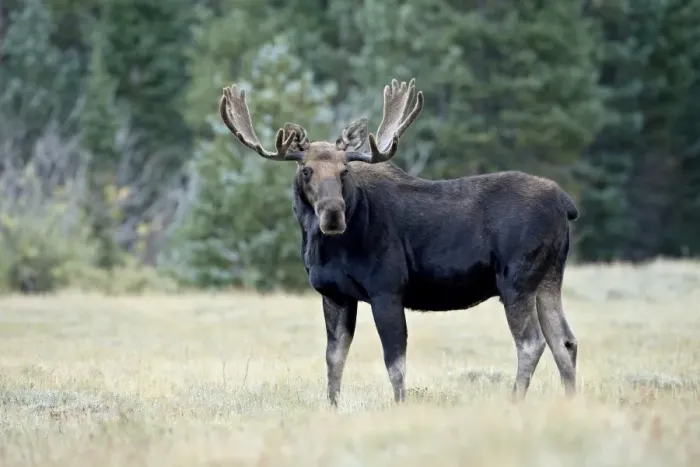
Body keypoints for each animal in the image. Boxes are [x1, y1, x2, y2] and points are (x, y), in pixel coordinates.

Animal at [218, 78, 579, 405]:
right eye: (305, 170)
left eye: (345, 171)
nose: (333, 214)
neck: (325, 249)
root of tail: (565, 203)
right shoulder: (335, 295)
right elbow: (334, 359)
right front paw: (332, 406)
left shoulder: (387, 289)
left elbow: (395, 362)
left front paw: (400, 404)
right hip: (549, 278)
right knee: (565, 341)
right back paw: (569, 401)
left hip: (516, 279)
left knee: (531, 342)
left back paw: (515, 399)